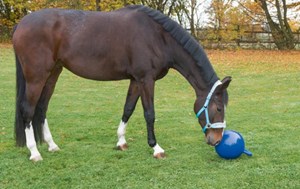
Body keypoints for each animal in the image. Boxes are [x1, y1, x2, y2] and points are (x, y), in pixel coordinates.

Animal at [12, 4, 231, 161]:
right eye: (219, 108)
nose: (217, 140)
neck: (158, 37)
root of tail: (21, 23)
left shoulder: (136, 80)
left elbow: (128, 109)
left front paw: (121, 142)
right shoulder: (146, 80)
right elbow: (149, 114)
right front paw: (156, 148)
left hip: (52, 74)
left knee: (42, 108)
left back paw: (52, 145)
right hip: (36, 77)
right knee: (28, 111)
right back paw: (34, 153)